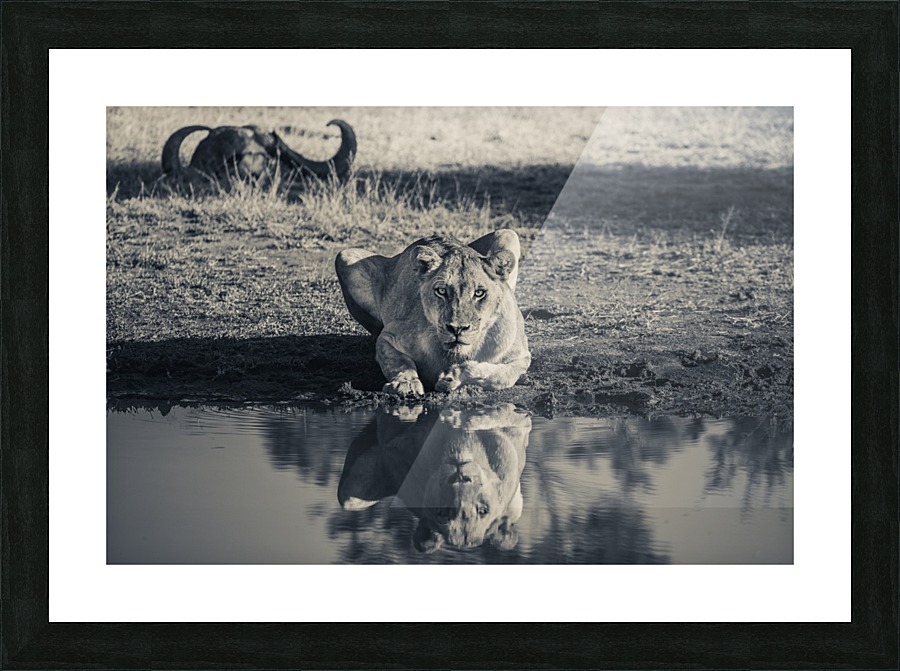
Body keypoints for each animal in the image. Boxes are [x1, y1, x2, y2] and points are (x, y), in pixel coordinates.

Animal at [335, 230, 531, 396]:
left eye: (479, 293)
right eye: (442, 291)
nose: (457, 329)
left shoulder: (521, 356)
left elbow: (500, 376)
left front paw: (454, 376)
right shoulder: (389, 337)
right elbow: (399, 363)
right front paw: (406, 383)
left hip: (508, 233)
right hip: (344, 256)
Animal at [337, 403, 531, 553]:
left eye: (483, 510)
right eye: (442, 512)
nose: (462, 479)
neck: (460, 445)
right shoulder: (393, 447)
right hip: (348, 497)